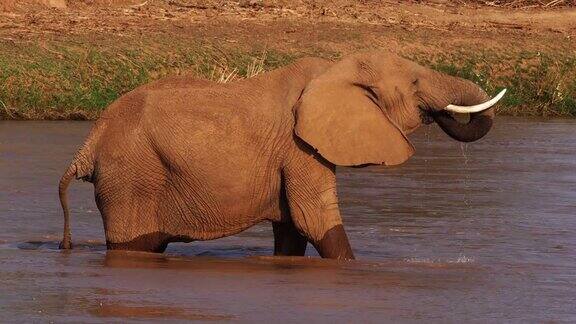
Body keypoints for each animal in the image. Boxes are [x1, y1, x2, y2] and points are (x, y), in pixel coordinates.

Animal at [58, 52, 506, 260]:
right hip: (131, 179)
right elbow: (315, 219)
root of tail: (89, 144)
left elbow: (293, 229)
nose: (439, 111)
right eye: (414, 83)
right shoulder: (299, 147)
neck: (335, 68)